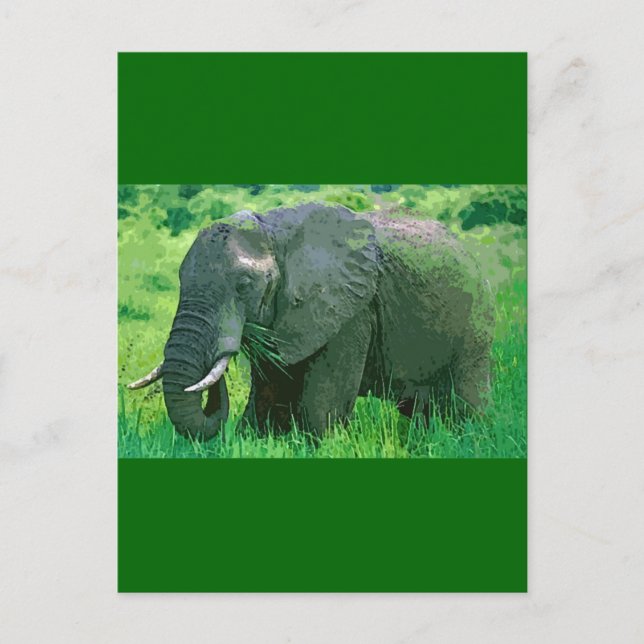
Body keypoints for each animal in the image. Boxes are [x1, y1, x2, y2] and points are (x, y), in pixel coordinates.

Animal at [128, 202, 494, 439]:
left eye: (244, 285)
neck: (274, 232)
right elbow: (268, 396)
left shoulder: (352, 310)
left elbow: (322, 405)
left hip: (475, 323)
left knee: (465, 403)